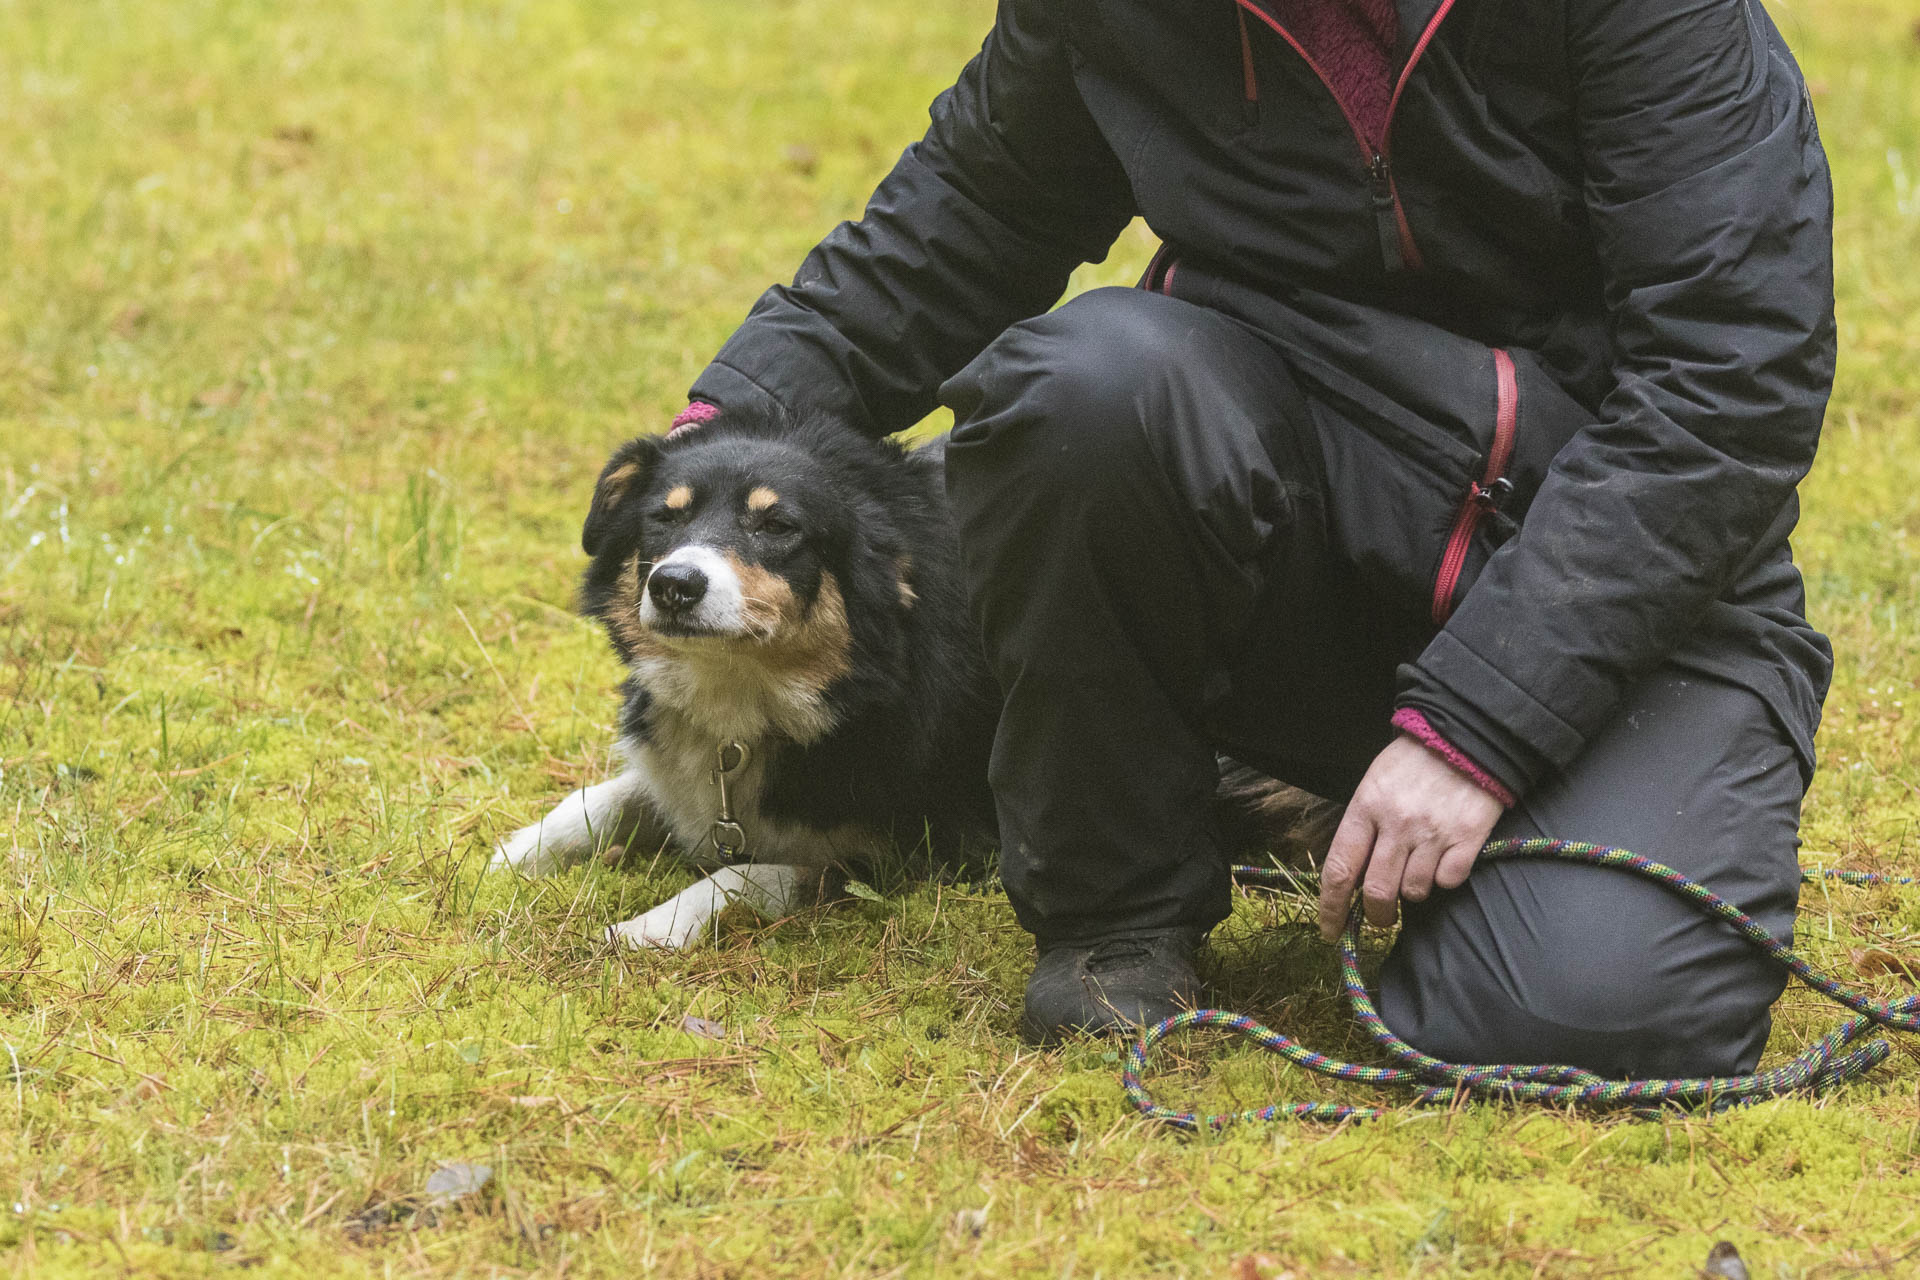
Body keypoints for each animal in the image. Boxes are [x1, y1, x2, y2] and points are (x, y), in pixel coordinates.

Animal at [491, 408, 1333, 949]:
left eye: (779, 527)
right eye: (663, 519)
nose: (674, 585)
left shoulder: (917, 849)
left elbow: (747, 874)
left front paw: (649, 925)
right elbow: (600, 799)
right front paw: (509, 855)